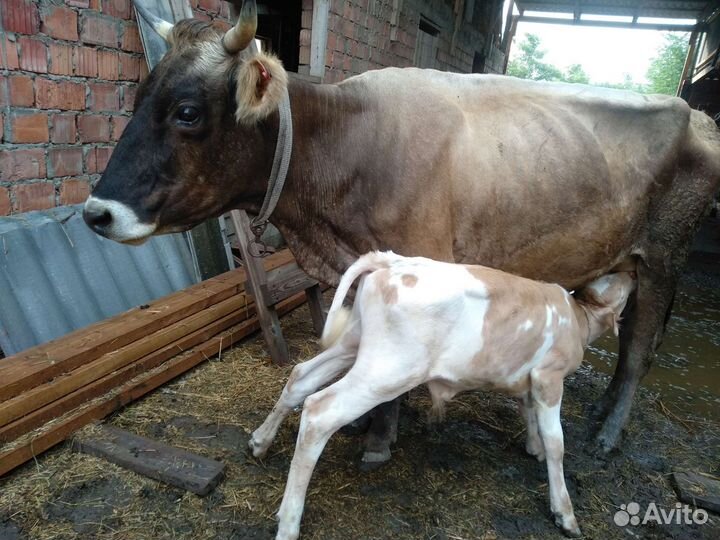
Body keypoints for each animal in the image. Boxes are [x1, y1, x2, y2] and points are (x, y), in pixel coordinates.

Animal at [82, 0, 720, 465]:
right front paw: (366, 423)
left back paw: (608, 435)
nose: (96, 213)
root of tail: (698, 115)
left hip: (664, 256)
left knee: (637, 352)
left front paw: (378, 438)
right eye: (138, 99)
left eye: (187, 111)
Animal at [248, 251, 638, 539]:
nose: (632, 272)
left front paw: (533, 447)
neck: (577, 319)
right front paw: (564, 512)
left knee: (300, 377)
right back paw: (289, 521)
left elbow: (528, 412)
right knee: (319, 412)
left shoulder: (527, 377)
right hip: (388, 370)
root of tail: (392, 260)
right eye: (613, 281)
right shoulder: (548, 376)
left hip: (354, 346)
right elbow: (558, 442)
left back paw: (260, 441)